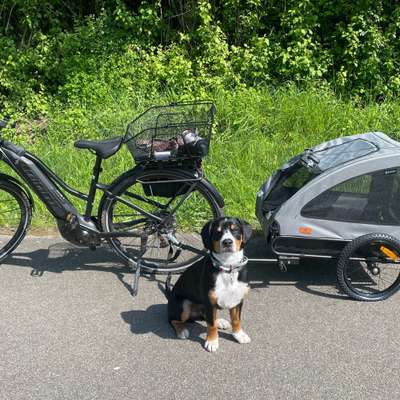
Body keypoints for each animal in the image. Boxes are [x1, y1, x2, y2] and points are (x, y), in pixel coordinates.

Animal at [166, 217, 253, 352]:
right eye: (217, 232)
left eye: (235, 230)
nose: (227, 242)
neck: (228, 267)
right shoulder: (209, 302)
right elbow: (211, 325)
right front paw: (212, 341)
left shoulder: (237, 300)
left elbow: (236, 319)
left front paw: (239, 335)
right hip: (184, 304)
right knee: (172, 319)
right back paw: (181, 330)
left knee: (205, 317)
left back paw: (220, 322)